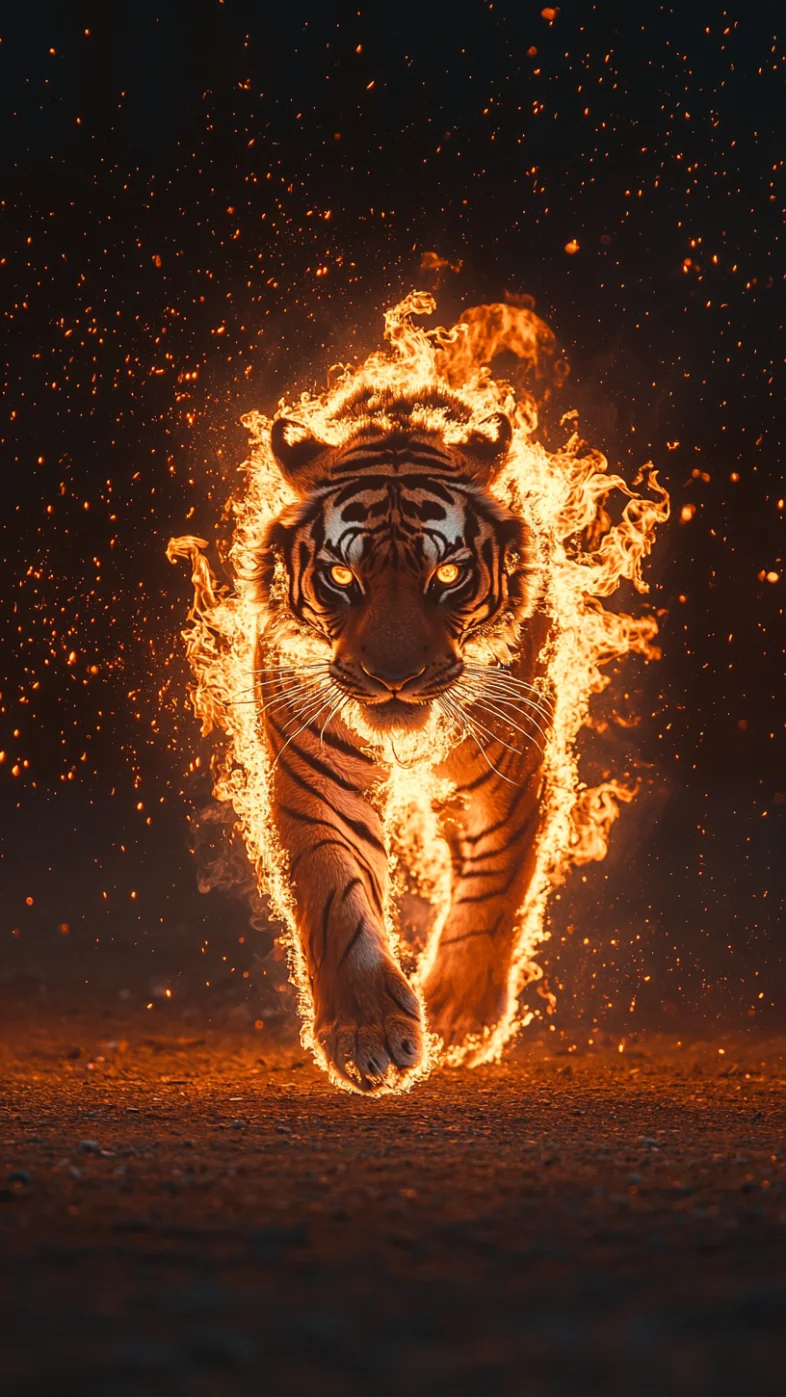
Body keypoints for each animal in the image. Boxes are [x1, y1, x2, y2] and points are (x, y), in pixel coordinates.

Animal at [255, 386, 552, 1093]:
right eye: (342, 577)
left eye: (446, 577)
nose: (395, 678)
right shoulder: (315, 780)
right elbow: (335, 895)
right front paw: (368, 1036)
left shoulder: (512, 776)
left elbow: (496, 887)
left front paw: (460, 1015)